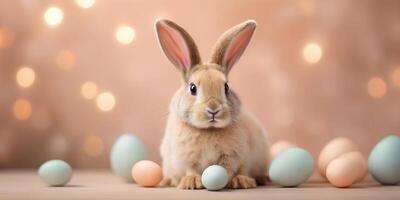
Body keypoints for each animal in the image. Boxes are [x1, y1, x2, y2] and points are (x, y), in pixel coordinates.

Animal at [155, 18, 268, 189]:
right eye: (192, 88)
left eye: (226, 87)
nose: (213, 110)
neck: (209, 130)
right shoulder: (188, 158)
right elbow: (191, 169)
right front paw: (191, 182)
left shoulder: (234, 156)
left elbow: (229, 168)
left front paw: (235, 181)